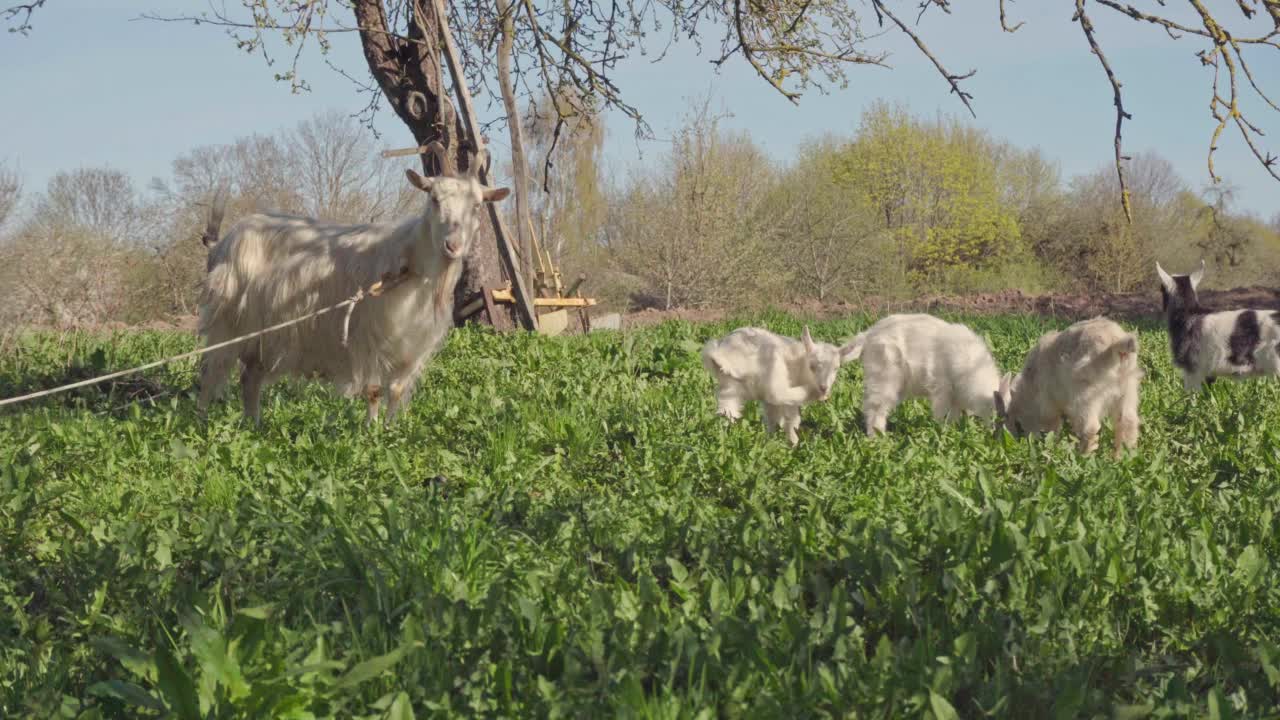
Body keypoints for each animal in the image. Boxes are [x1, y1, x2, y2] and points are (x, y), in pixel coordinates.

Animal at [197, 142, 506, 422]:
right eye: (434, 199)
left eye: (477, 205)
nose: (452, 245)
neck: (412, 265)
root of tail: (223, 242)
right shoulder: (369, 337)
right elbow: (373, 391)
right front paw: (371, 432)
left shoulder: (413, 347)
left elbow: (396, 390)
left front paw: (392, 432)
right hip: (226, 324)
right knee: (210, 373)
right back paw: (202, 424)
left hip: (263, 337)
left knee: (250, 378)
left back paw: (253, 425)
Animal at [706, 324, 855, 443]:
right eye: (812, 366)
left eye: (836, 368)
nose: (824, 388)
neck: (800, 362)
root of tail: (722, 354)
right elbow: (791, 417)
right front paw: (793, 442)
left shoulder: (766, 399)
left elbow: (773, 417)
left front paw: (772, 438)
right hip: (773, 367)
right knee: (778, 393)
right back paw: (813, 393)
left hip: (729, 384)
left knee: (727, 410)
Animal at [844, 312, 1003, 435]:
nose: (994, 434)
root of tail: (868, 334)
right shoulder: (942, 389)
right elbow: (941, 413)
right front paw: (941, 431)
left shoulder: (956, 397)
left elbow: (953, 415)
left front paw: (952, 430)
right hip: (884, 379)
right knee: (874, 408)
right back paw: (877, 437)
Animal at [988, 315, 1141, 453]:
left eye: (1017, 424)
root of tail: (1115, 345)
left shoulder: (1048, 406)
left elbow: (1052, 427)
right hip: (1127, 391)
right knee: (1127, 422)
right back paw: (1121, 457)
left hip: (1085, 397)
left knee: (1090, 429)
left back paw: (1083, 456)